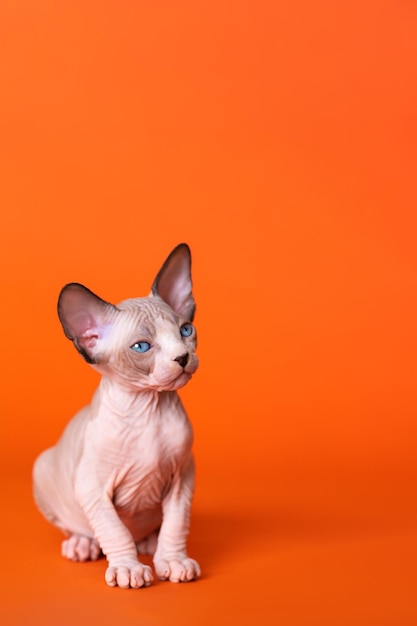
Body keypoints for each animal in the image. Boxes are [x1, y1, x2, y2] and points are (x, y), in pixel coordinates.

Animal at [34, 243, 200, 584]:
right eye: (141, 347)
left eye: (186, 330)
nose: (182, 357)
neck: (149, 408)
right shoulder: (93, 488)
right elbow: (114, 531)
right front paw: (128, 568)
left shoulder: (183, 476)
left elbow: (176, 524)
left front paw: (173, 560)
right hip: (42, 469)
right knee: (88, 529)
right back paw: (83, 545)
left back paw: (149, 541)